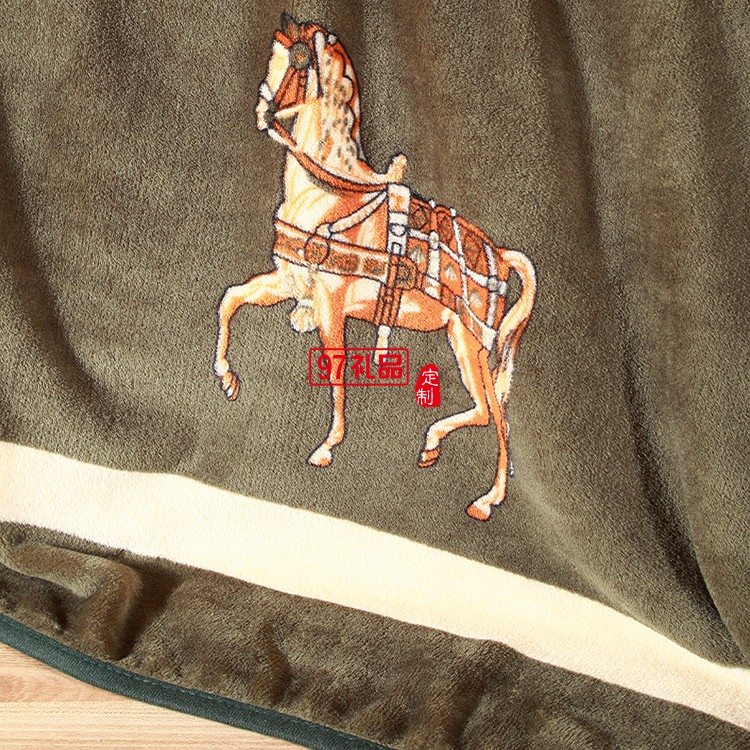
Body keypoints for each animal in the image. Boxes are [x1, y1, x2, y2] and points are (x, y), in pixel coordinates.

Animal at [213, 14, 537, 521]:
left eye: (294, 63)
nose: (262, 113)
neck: (330, 195)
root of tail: (501, 256)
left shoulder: (331, 306)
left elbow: (336, 372)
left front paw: (327, 446)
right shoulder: (288, 282)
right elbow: (230, 300)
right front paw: (227, 378)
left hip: (470, 343)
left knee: (497, 418)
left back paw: (486, 498)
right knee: (490, 412)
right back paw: (440, 452)